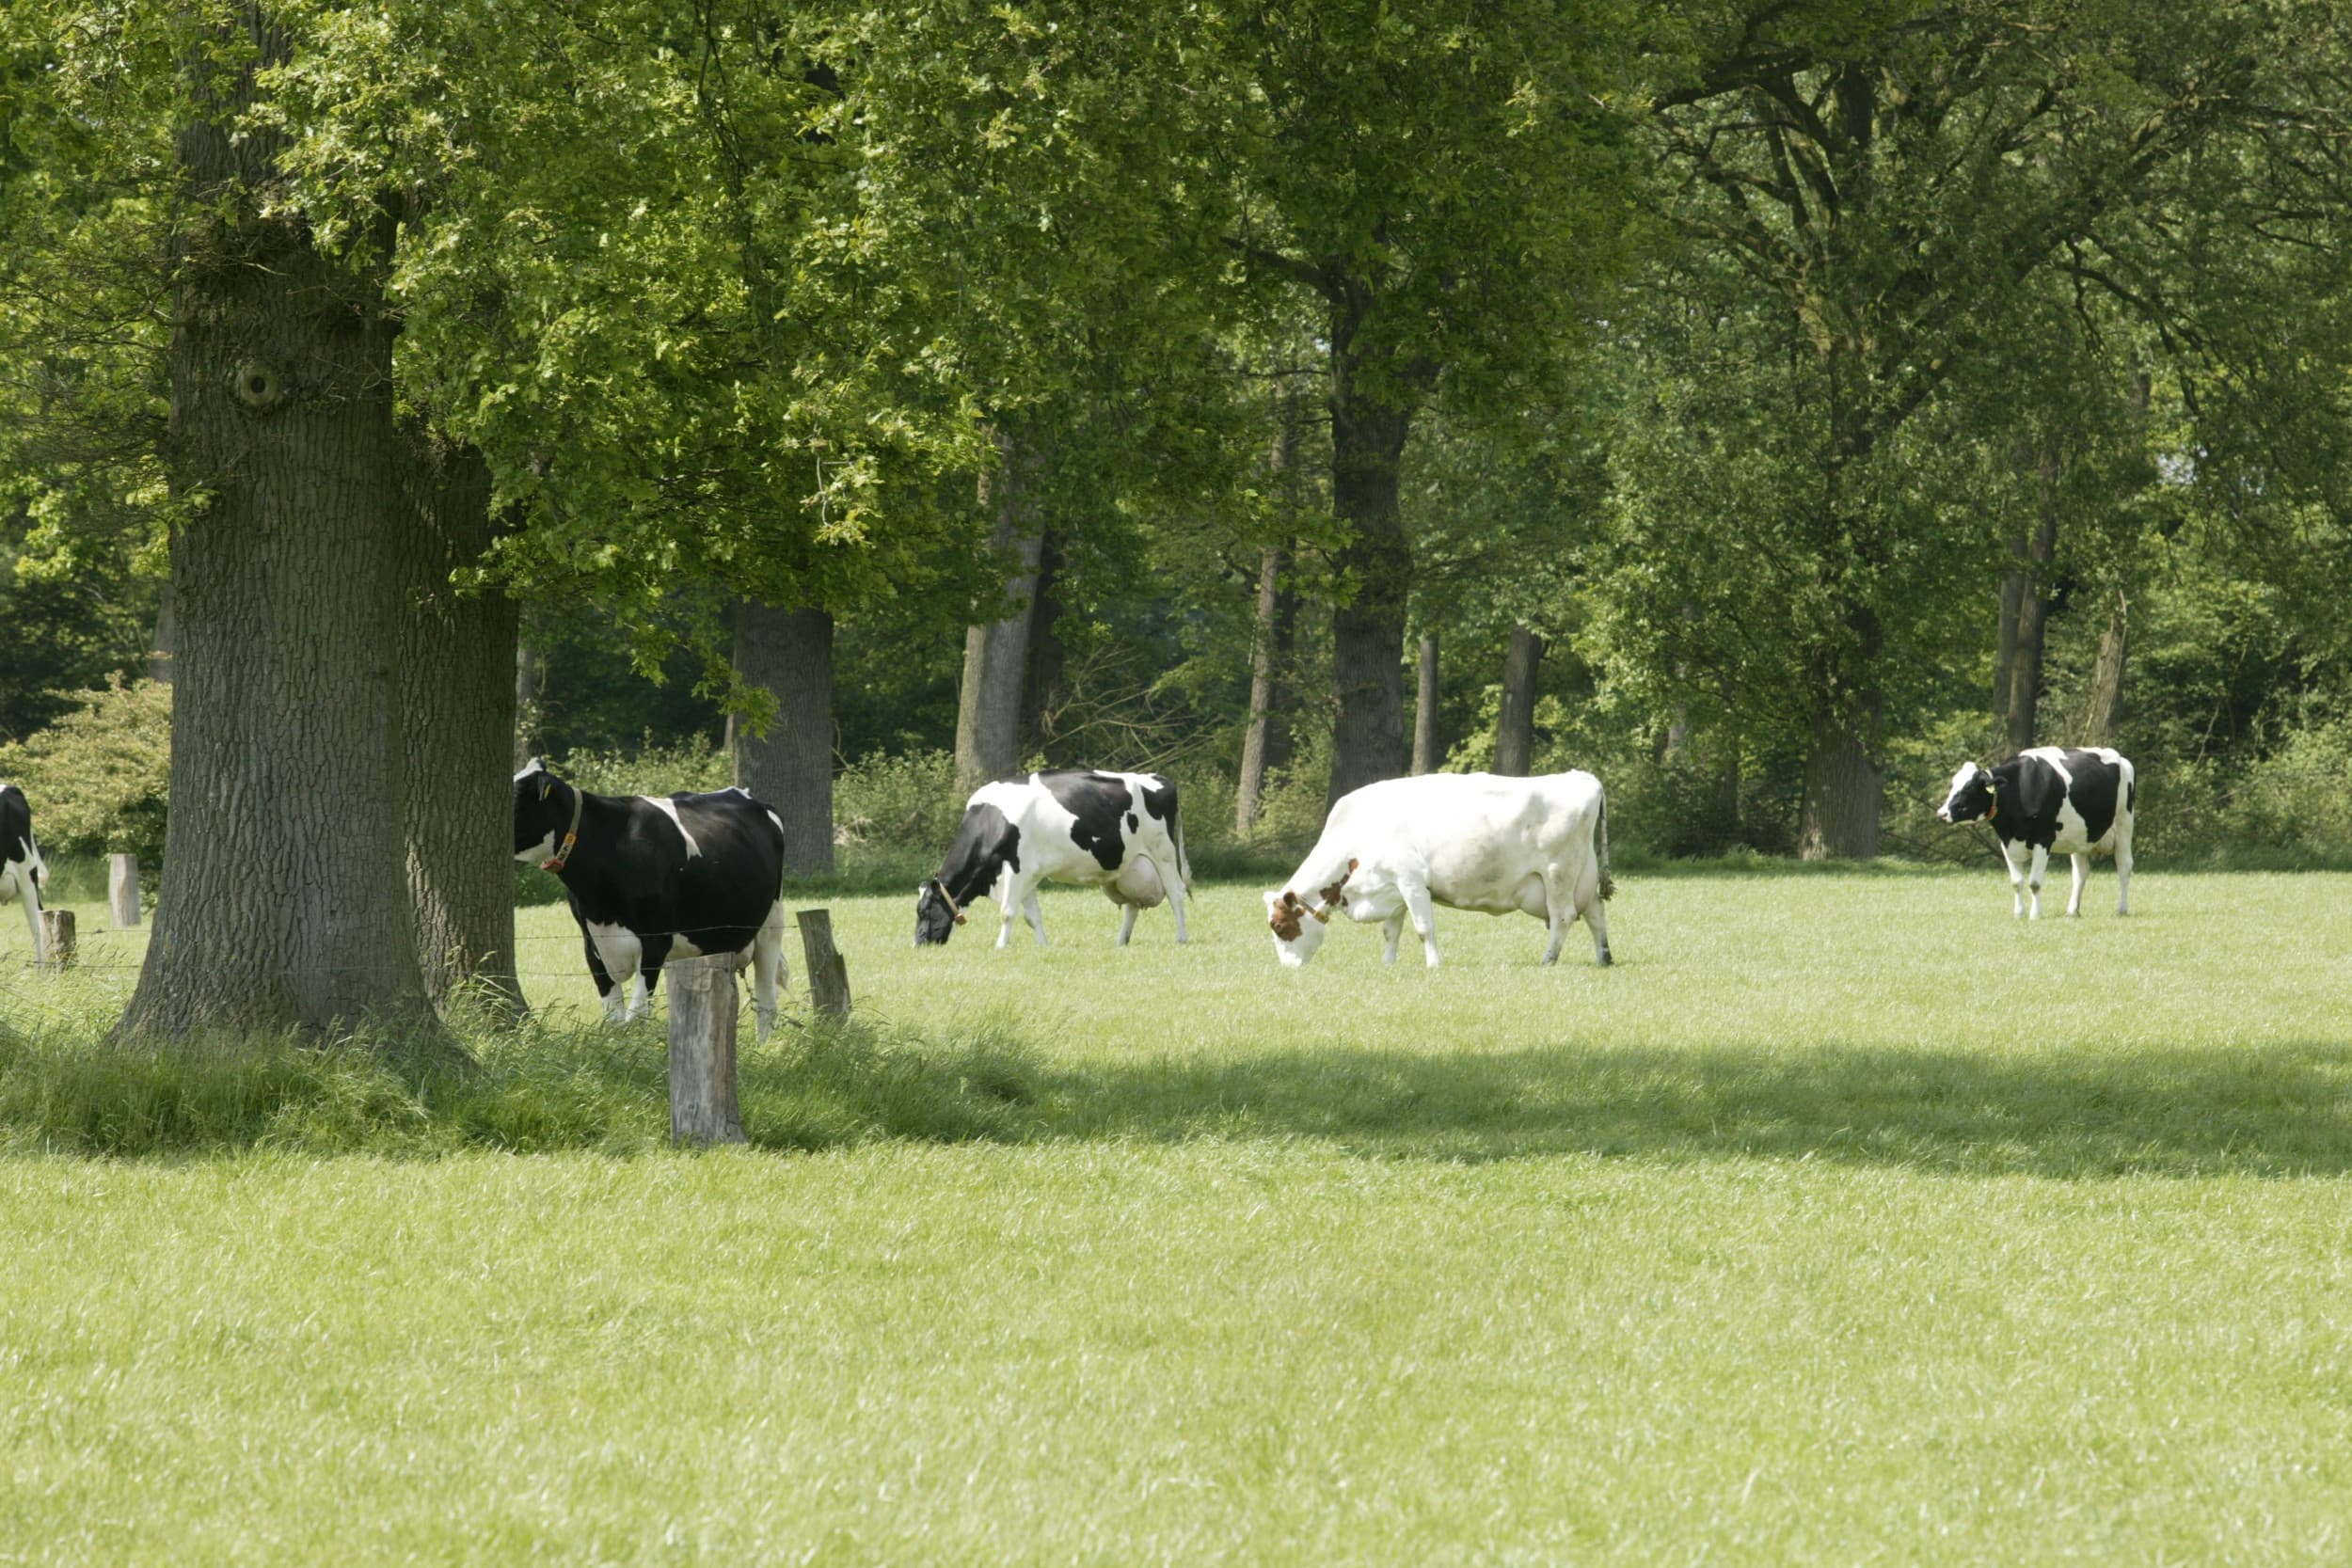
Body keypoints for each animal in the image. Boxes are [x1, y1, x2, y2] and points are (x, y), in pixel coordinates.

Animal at [513, 760, 789, 1037]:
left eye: (515, 794)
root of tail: (748, 796)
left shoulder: (656, 941)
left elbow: (636, 1018)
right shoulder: (592, 944)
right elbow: (614, 1020)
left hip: (771, 924)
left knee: (766, 1002)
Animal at [915, 769, 1192, 948]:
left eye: (924, 911)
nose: (918, 944)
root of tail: (1160, 779)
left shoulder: (1017, 869)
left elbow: (1007, 911)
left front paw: (1001, 946)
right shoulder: (1026, 872)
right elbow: (1031, 916)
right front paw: (1043, 945)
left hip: (1163, 854)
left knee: (1176, 894)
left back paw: (1181, 938)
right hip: (1129, 866)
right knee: (1132, 905)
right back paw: (1121, 941)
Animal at [1263, 770, 1613, 970]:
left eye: (1279, 926)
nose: (1288, 968)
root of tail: (1581, 776)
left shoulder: (1411, 881)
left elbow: (1423, 928)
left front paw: (1433, 965)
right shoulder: (1391, 888)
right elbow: (1390, 931)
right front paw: (1388, 964)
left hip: (1558, 873)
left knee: (1563, 916)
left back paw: (1548, 960)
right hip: (1584, 876)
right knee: (1596, 913)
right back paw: (1604, 958)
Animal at [1936, 745, 2136, 919]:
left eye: (1969, 787)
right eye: (1952, 785)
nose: (1942, 813)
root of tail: (2122, 759)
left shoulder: (2043, 839)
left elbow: (2035, 883)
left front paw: (2035, 915)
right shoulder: (2006, 842)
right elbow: (2016, 882)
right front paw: (2019, 914)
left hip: (2124, 825)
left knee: (2124, 867)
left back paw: (2122, 909)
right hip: (2080, 837)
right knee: (2080, 874)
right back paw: (2072, 911)